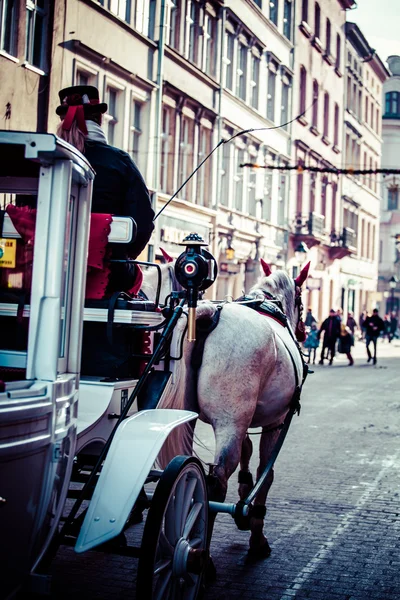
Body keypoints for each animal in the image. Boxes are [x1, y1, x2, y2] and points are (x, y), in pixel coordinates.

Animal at [157, 260, 312, 560]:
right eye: (301, 298)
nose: (304, 332)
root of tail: (209, 313)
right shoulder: (276, 422)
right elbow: (266, 472)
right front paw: (257, 535)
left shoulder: (247, 420)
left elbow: (246, 454)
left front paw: (244, 502)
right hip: (231, 422)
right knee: (216, 481)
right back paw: (202, 557)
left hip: (190, 417)